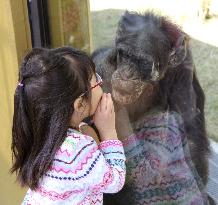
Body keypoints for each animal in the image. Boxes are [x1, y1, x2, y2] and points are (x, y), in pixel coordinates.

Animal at [91, 11, 215, 205]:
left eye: (142, 62)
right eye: (124, 55)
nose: (126, 73)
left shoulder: (184, 69)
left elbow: (190, 134)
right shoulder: (100, 65)